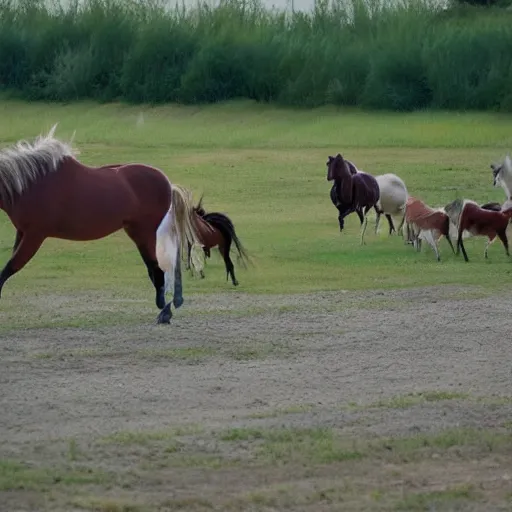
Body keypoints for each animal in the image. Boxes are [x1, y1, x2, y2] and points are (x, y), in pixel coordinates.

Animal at [0, 125, 202, 322]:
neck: (31, 184)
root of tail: (168, 185)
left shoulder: (34, 235)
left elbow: (8, 269)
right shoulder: (22, 233)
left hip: (147, 234)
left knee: (161, 268)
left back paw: (166, 311)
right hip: (138, 233)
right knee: (157, 269)